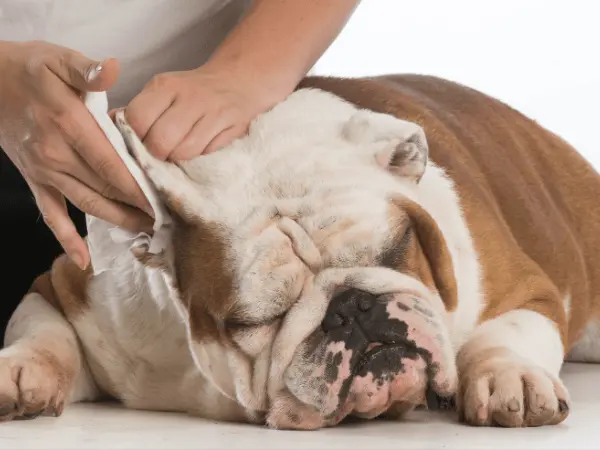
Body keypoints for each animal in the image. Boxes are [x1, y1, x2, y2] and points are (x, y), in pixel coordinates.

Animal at [1, 74, 600, 428]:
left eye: (398, 246)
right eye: (254, 320)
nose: (353, 307)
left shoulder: (526, 290)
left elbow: (505, 333)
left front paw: (508, 377)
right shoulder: (68, 290)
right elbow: (45, 333)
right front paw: (20, 371)